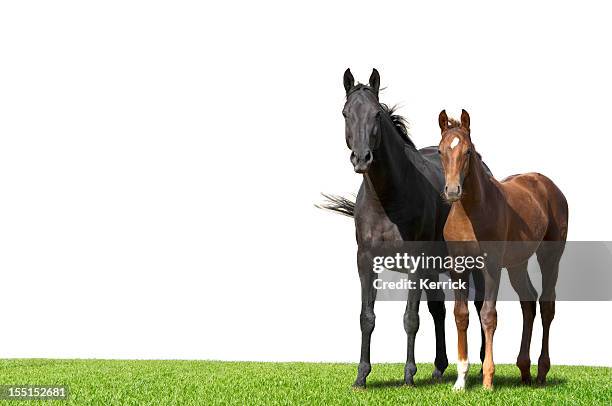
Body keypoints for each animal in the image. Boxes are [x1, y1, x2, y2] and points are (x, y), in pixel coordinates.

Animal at [320, 69, 488, 386]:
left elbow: (411, 318)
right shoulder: (366, 261)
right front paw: (361, 376)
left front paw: (409, 375)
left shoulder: (415, 263)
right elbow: (367, 317)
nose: (362, 159)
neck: (388, 199)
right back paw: (439, 367)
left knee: (478, 304)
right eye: (345, 113)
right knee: (438, 310)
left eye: (376, 114)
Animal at [438, 109, 568, 388]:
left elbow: (488, 315)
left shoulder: (491, 266)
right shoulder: (458, 267)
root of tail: (549, 186)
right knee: (528, 302)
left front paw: (487, 380)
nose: (453, 191)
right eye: (441, 151)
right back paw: (525, 371)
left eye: (468, 151)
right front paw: (460, 381)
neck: (471, 212)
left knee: (547, 305)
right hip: (518, 264)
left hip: (550, 257)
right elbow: (461, 315)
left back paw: (541, 372)